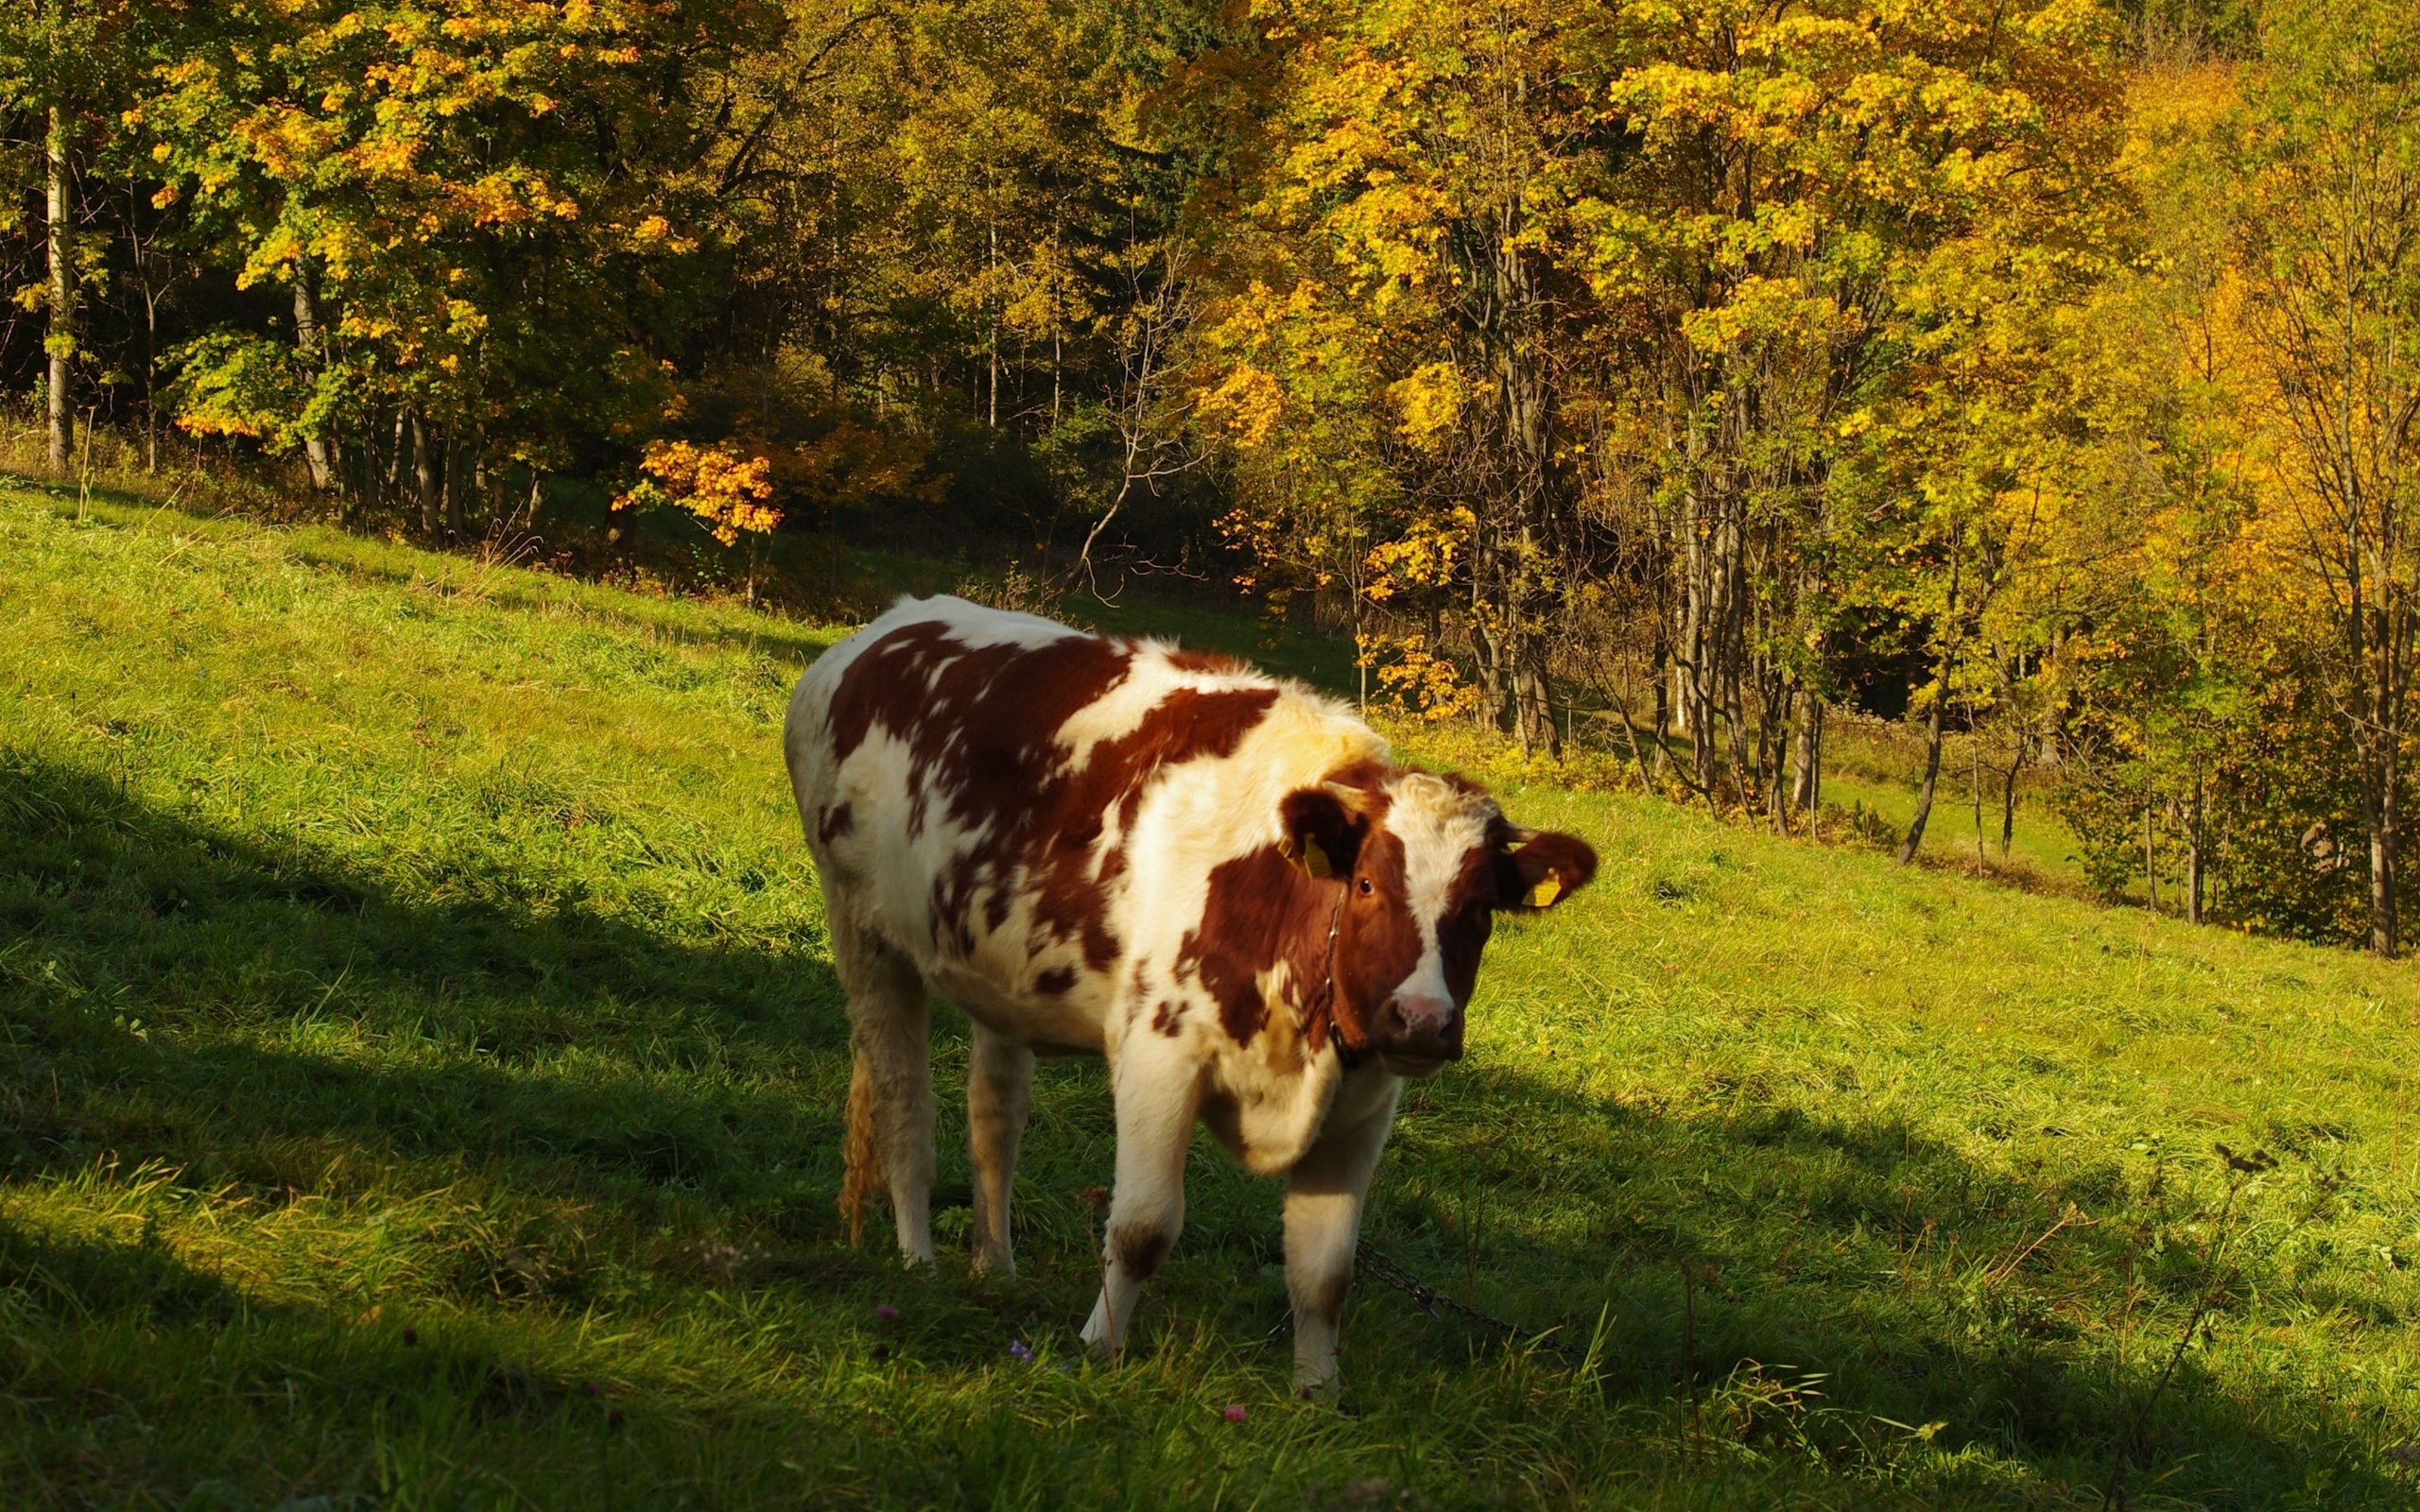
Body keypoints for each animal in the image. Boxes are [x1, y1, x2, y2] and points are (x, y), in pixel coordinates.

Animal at [784, 593, 1597, 1393]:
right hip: (863, 931)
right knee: (903, 1104)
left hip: (999, 974)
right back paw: (917, 1260)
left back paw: (996, 1267)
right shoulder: (1158, 1055)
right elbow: (1143, 1227)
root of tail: (883, 628)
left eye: (1483, 909)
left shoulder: (1365, 1105)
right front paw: (1100, 1349)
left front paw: (1317, 1394)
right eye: (1367, 884)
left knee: (994, 1119)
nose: (1423, 1022)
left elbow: (1326, 1271)